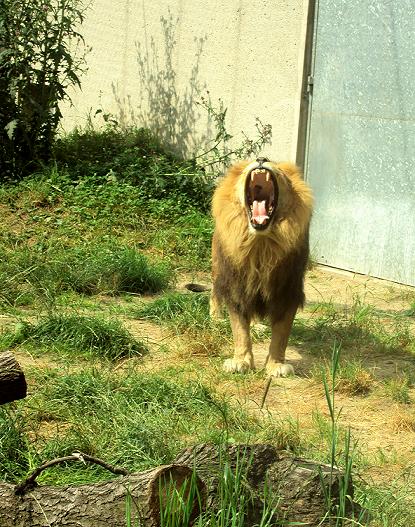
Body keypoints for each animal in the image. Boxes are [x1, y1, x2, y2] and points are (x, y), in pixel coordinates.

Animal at [213, 155, 314, 378]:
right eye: (246, 167)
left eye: (278, 169)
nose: (261, 158)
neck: (260, 245)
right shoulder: (236, 288)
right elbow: (239, 330)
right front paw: (240, 361)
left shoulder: (288, 290)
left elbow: (281, 335)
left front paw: (276, 365)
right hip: (216, 265)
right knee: (214, 293)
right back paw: (214, 318)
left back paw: (258, 325)